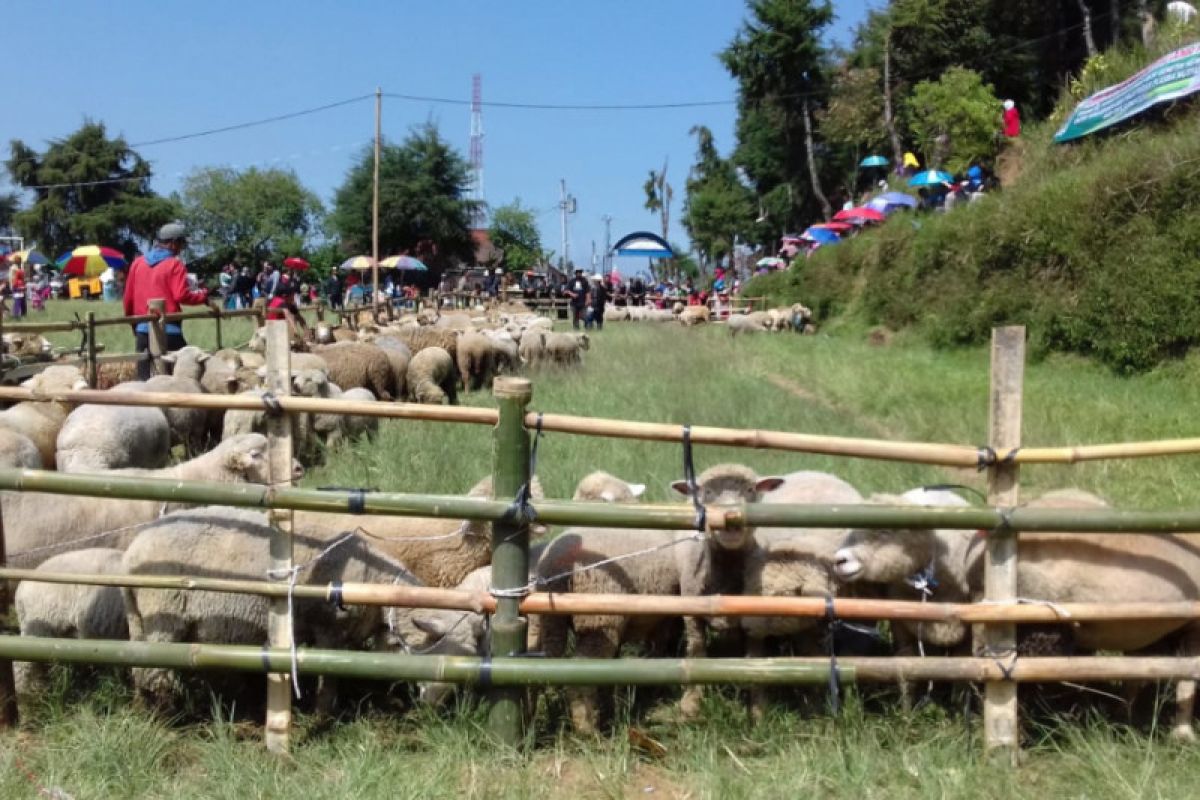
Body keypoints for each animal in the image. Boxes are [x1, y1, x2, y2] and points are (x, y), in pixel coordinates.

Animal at [537, 462, 782, 734]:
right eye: (706, 492)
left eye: (750, 490)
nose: (730, 523)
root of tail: (558, 563)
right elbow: (690, 650)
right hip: (599, 618)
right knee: (580, 673)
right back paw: (587, 731)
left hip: (552, 621)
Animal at [835, 484, 1200, 743]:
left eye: (884, 532)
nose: (839, 560)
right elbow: (1185, 678)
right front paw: (1182, 734)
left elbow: (1153, 675)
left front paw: (1136, 720)